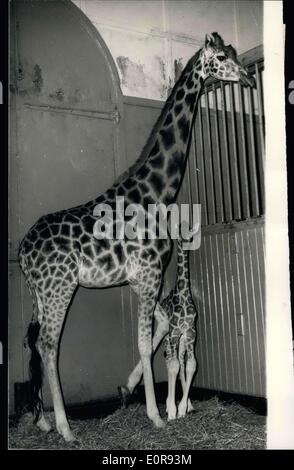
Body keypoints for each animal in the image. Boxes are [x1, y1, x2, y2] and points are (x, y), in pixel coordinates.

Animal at [119, 226, 198, 420]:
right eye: (181, 232)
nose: (188, 241)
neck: (184, 296)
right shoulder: (173, 334)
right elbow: (173, 366)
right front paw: (173, 411)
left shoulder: (190, 334)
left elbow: (191, 365)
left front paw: (184, 408)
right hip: (169, 340)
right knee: (172, 362)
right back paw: (171, 407)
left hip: (181, 341)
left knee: (181, 362)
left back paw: (188, 405)